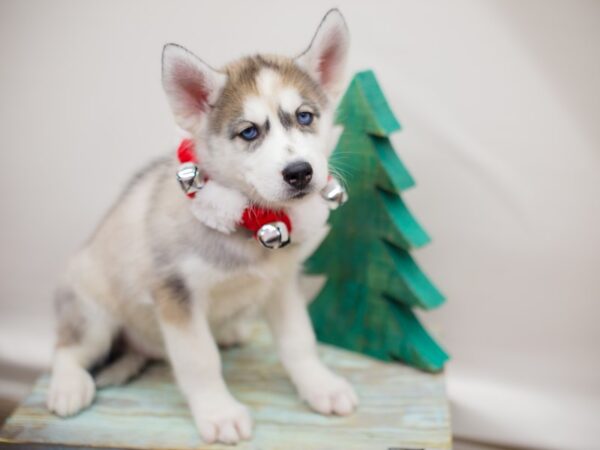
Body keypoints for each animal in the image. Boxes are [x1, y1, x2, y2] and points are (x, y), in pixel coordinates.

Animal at [48, 8, 356, 444]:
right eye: (249, 131)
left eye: (305, 116)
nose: (299, 172)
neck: (255, 222)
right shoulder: (177, 295)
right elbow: (200, 359)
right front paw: (218, 411)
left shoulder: (281, 284)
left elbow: (300, 341)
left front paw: (321, 386)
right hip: (94, 316)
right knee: (67, 349)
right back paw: (68, 385)